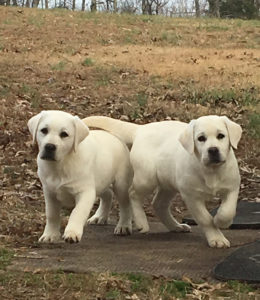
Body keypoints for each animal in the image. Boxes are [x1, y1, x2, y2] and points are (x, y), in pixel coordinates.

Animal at [27, 110, 132, 244]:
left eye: (64, 134)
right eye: (44, 130)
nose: (49, 146)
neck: (61, 164)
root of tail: (116, 136)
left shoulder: (85, 192)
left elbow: (77, 212)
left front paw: (72, 233)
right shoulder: (49, 192)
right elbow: (51, 215)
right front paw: (50, 235)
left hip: (121, 183)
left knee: (125, 205)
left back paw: (124, 226)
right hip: (100, 181)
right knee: (108, 194)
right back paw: (99, 216)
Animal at [83, 115, 242, 248]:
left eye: (221, 136)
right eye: (201, 138)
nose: (213, 150)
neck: (212, 171)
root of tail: (141, 129)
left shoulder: (232, 188)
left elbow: (228, 210)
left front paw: (221, 221)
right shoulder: (191, 196)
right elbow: (205, 219)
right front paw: (217, 238)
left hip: (168, 183)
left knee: (158, 204)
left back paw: (176, 226)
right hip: (147, 178)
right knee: (132, 193)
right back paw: (141, 222)